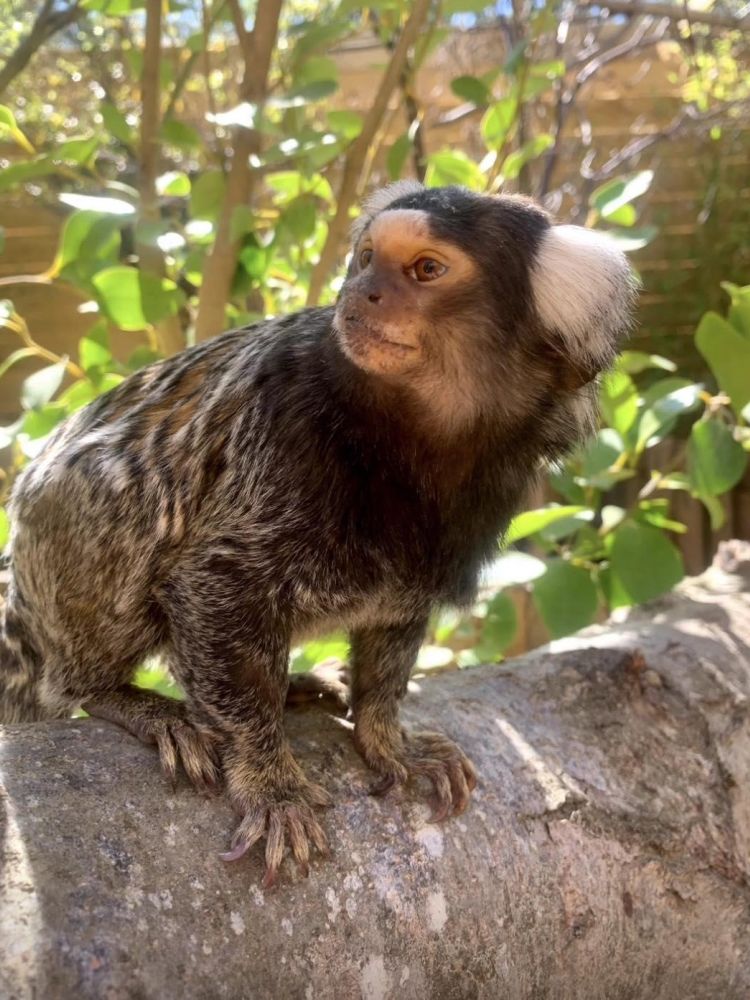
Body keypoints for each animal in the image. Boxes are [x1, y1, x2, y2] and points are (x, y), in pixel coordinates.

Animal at [0, 182, 637, 886]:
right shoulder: (274, 433)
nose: (363, 292)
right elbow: (209, 589)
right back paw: (120, 696)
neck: (407, 442)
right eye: (367, 258)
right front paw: (269, 780)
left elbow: (393, 629)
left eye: (426, 269)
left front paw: (388, 736)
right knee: (119, 499)